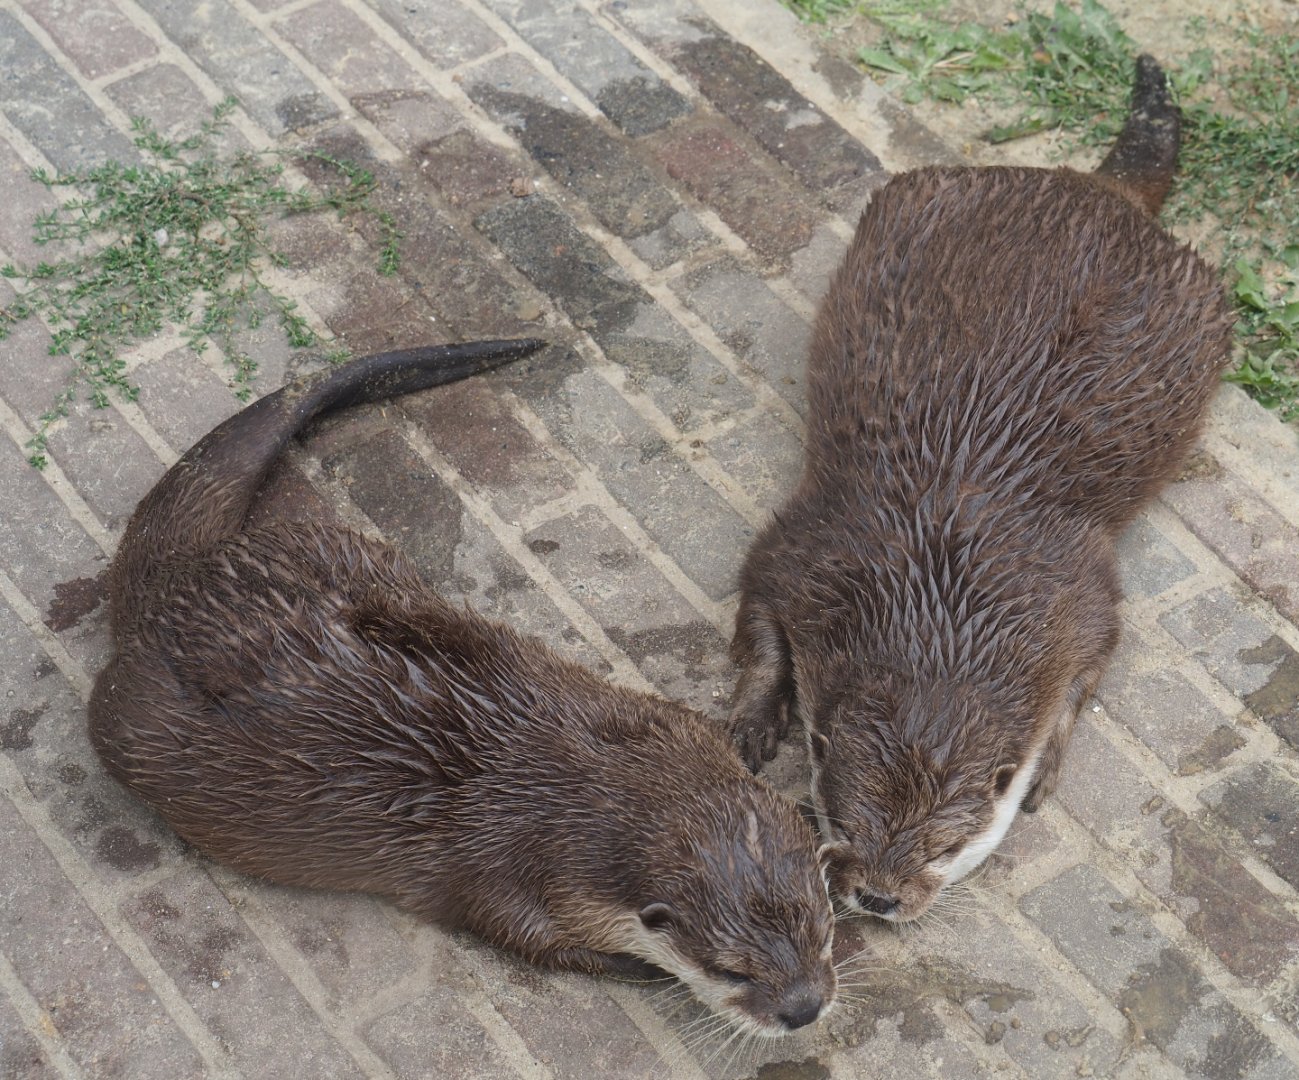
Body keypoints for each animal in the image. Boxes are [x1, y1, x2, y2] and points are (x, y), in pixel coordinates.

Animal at [90, 341, 837, 1034]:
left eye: (821, 926)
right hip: (131, 728)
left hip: (335, 548)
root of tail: (175, 589)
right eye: (731, 971)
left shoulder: (663, 724)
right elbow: (530, 940)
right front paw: (638, 967)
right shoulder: (493, 871)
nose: (803, 1007)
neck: (580, 784)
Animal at [729, 57, 1234, 922]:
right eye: (843, 817)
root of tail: (1092, 191)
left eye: (946, 846)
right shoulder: (812, 540)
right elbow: (758, 610)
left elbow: (1092, 663)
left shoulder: (1077, 591)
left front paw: (1044, 766)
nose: (878, 897)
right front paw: (757, 717)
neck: (941, 572)